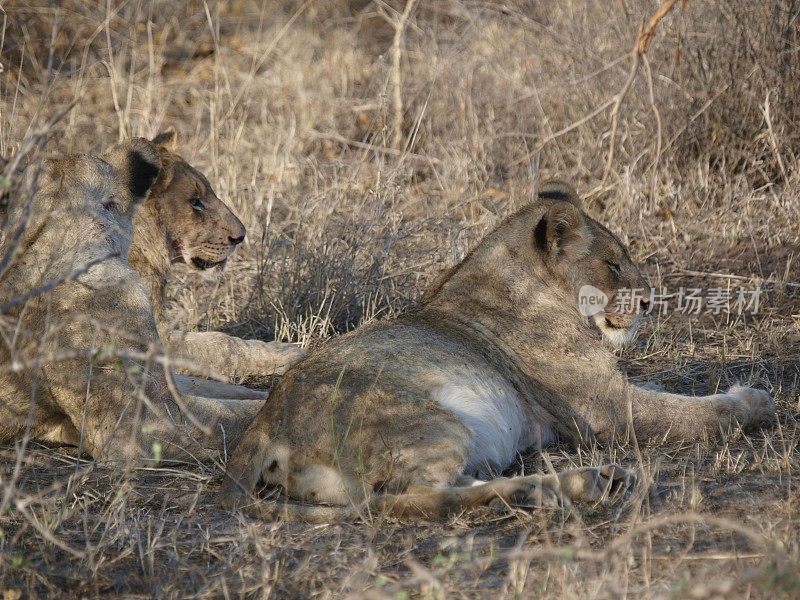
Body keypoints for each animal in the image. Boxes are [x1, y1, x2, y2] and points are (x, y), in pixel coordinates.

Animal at [220, 178, 776, 520]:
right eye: (614, 264)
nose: (648, 301)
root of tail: (264, 423)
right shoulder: (607, 409)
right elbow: (697, 413)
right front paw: (756, 400)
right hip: (428, 421)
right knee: (408, 500)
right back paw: (565, 487)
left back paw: (578, 483)